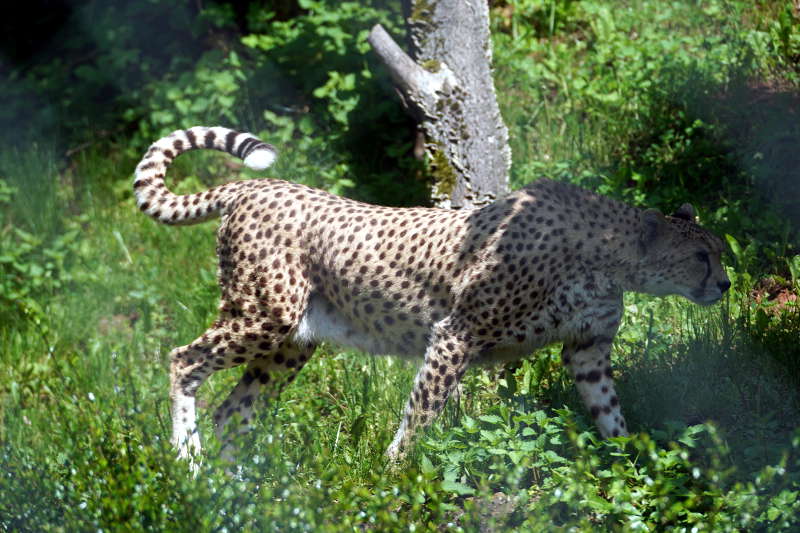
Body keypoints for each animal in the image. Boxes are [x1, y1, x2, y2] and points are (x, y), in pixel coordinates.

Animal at [133, 127, 732, 464]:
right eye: (701, 257)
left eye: (720, 252)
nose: (726, 284)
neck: (611, 258)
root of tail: (257, 185)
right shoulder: (456, 335)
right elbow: (421, 415)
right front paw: (393, 476)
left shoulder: (587, 351)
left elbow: (611, 416)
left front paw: (631, 472)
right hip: (265, 315)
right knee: (183, 361)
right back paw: (188, 462)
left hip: (293, 342)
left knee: (232, 411)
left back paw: (235, 490)